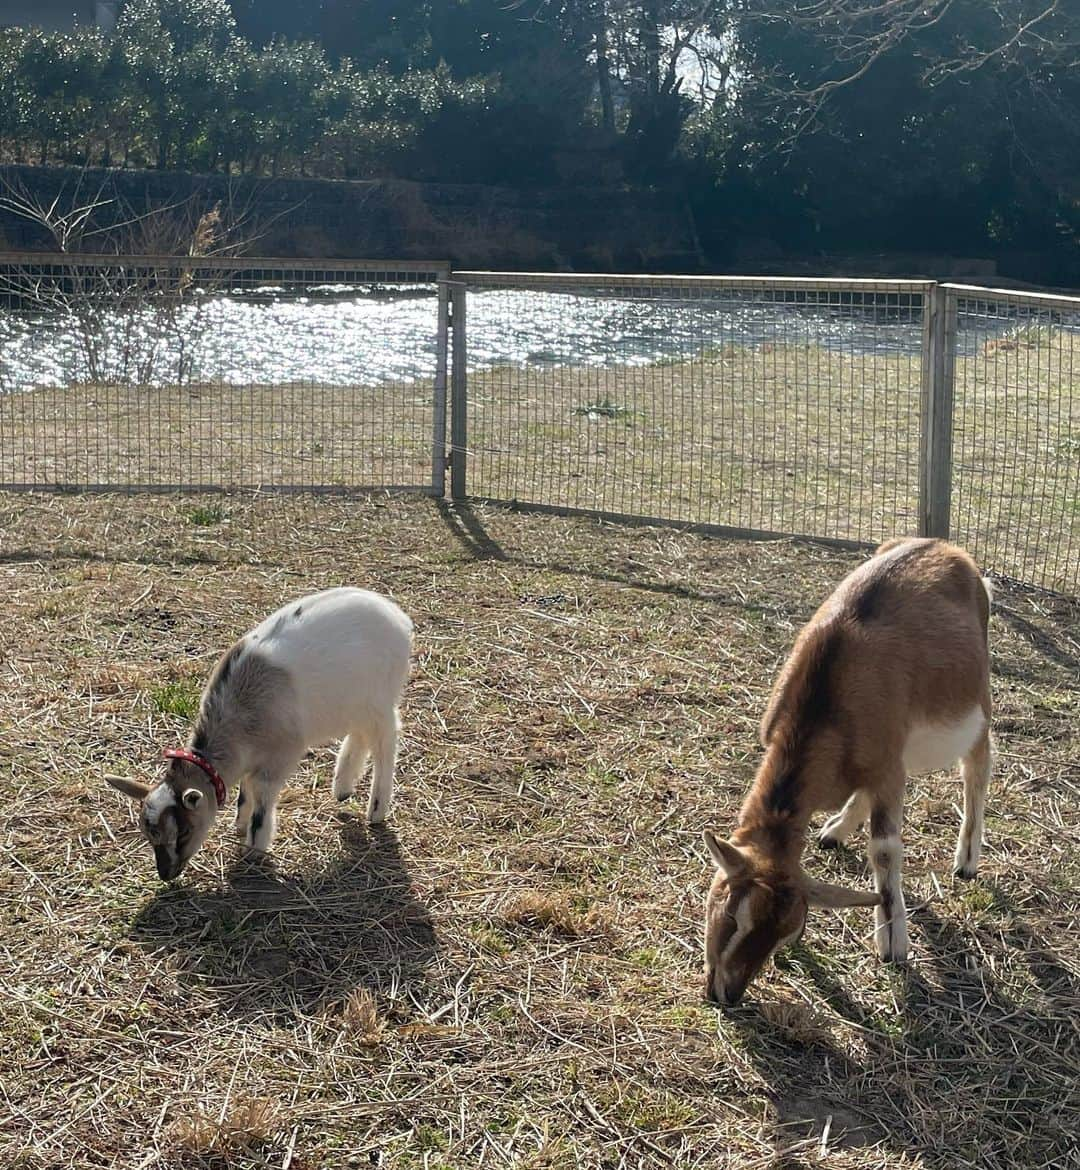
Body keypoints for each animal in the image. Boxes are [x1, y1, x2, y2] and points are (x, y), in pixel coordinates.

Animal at [109, 589, 414, 879]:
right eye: (148, 836)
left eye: (183, 832)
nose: (166, 875)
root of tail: (398, 617)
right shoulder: (251, 757)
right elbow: (245, 794)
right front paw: (239, 825)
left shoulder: (276, 761)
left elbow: (261, 804)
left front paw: (254, 849)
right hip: (353, 703)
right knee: (359, 734)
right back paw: (343, 788)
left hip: (380, 699)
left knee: (386, 741)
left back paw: (376, 809)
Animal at [706, 538, 992, 1006]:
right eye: (731, 913)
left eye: (783, 933)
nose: (727, 993)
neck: (828, 700)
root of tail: (945, 547)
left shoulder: (889, 769)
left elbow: (885, 849)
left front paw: (893, 942)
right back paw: (836, 830)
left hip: (978, 701)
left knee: (978, 765)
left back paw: (967, 858)